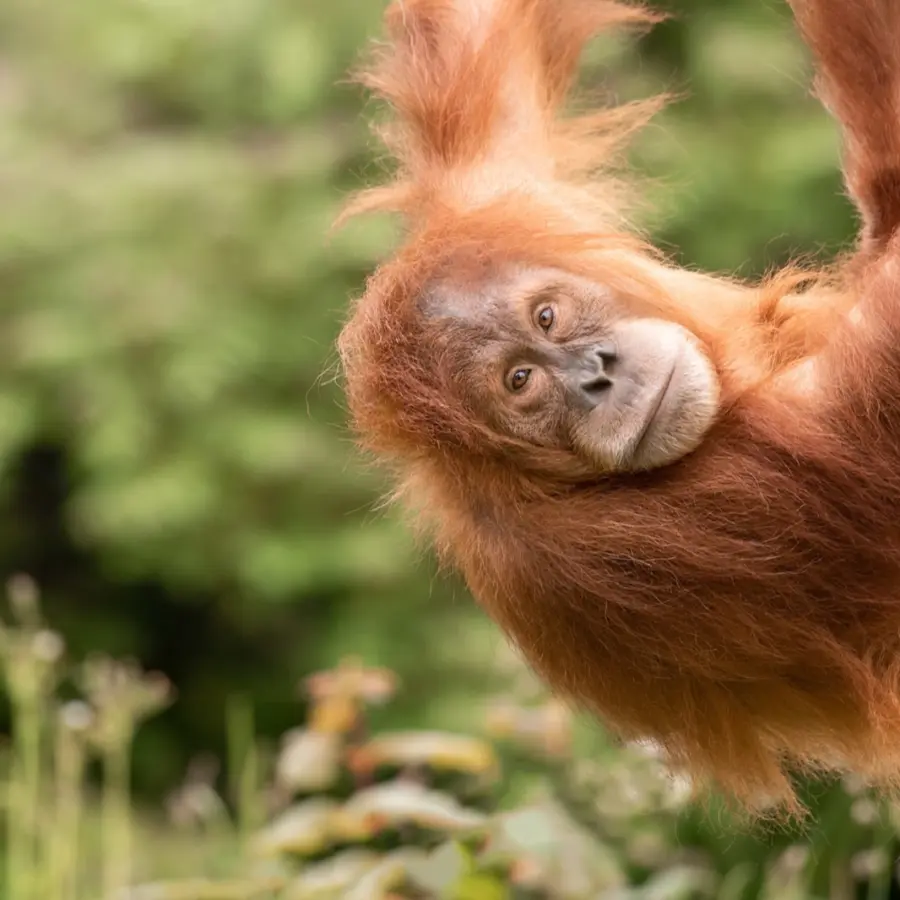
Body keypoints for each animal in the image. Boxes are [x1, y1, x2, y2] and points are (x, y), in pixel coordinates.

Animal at [335, 0, 900, 817]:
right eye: (520, 382)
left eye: (546, 317)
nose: (595, 374)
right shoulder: (604, 555)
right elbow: (863, 437)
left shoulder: (493, 199)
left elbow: (478, 33)